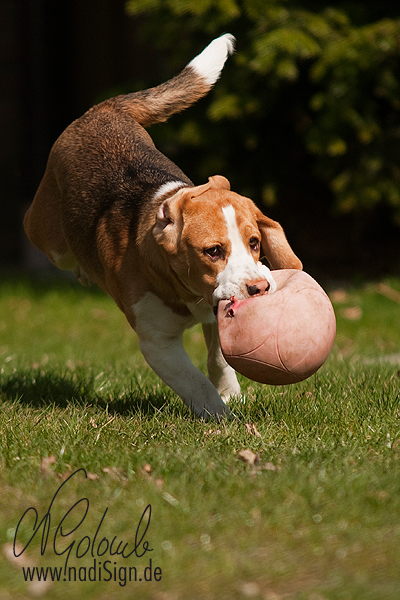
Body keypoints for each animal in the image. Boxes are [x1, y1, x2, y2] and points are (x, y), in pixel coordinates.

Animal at [24, 32, 300, 418]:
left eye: (255, 243)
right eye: (212, 251)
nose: (258, 288)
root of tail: (103, 109)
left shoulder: (215, 316)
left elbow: (219, 359)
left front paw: (230, 394)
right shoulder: (158, 343)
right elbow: (195, 382)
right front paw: (222, 417)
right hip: (48, 236)